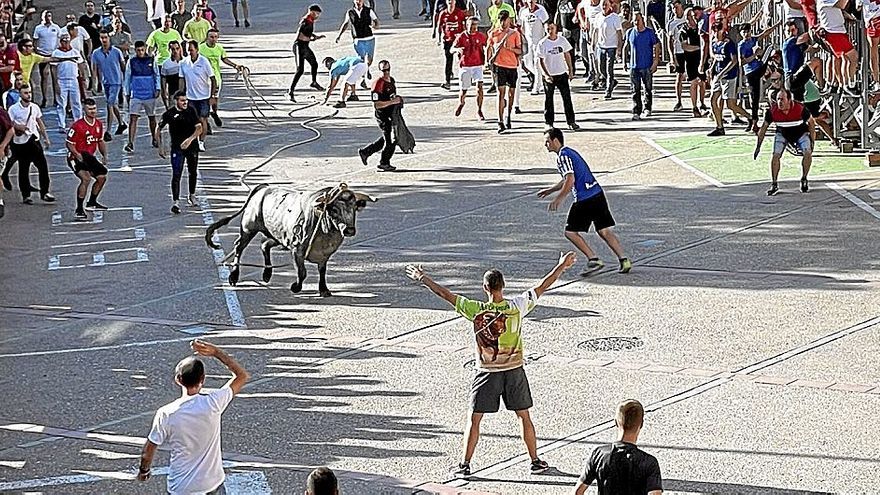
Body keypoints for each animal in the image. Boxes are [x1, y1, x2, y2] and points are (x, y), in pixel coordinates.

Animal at [205, 184, 374, 296]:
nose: (349, 230)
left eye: (353, 208)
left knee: (264, 245)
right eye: (333, 209)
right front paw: (296, 287)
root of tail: (263, 188)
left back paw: (267, 275)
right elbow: (302, 272)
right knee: (239, 247)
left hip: (278, 236)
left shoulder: (324, 255)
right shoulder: (297, 249)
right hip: (248, 228)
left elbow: (322, 271)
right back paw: (234, 276)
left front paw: (324, 289)